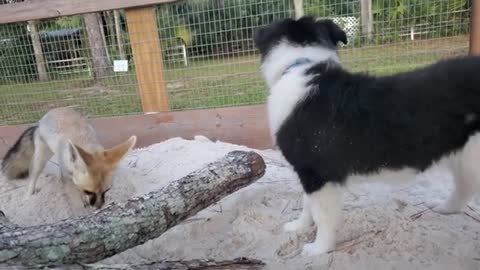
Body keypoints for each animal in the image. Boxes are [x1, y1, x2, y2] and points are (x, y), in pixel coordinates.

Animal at [0, 106, 136, 208]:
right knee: (33, 177)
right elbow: (76, 203)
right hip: (40, 160)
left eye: (106, 190)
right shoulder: (66, 178)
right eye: (89, 191)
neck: (84, 140)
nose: (98, 207)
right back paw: (28, 197)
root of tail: (39, 123)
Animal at [255, 16, 480, 255]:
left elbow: (323, 215)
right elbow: (307, 204)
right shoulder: (308, 172)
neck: (302, 64)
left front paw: (319, 249)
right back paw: (444, 208)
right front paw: (299, 226)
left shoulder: (316, 172)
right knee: (465, 186)